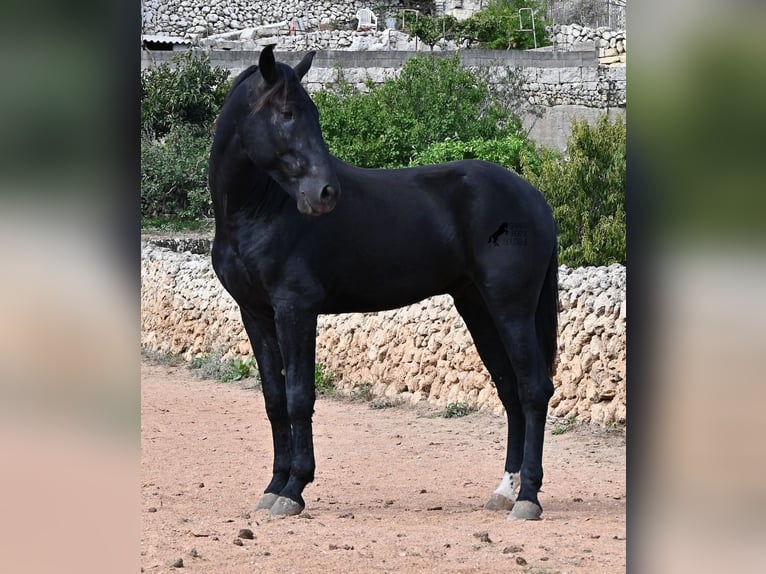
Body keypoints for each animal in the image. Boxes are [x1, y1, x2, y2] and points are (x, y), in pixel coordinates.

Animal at [208, 45, 559, 521]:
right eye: (286, 112)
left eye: (311, 113)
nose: (325, 193)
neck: (260, 210)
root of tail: (534, 197)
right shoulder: (256, 313)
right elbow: (274, 399)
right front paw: (274, 485)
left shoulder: (295, 308)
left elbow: (299, 396)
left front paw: (294, 489)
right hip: (479, 306)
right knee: (509, 390)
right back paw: (505, 489)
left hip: (511, 308)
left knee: (534, 389)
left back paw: (528, 498)